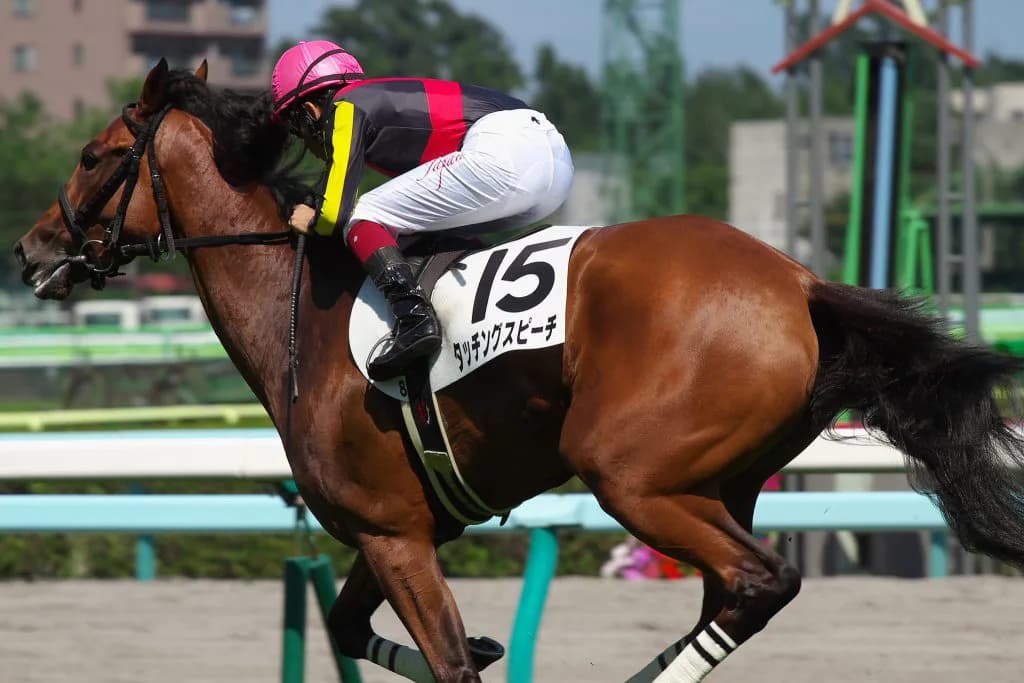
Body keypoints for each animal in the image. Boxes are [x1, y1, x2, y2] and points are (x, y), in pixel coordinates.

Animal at [14, 60, 1024, 682]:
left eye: (97, 156)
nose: (31, 248)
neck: (304, 313)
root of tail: (798, 278)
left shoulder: (394, 533)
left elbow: (449, 661)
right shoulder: (392, 529)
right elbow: (351, 628)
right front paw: (493, 642)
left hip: (631, 474)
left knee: (760, 581)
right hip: (719, 481)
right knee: (734, 595)